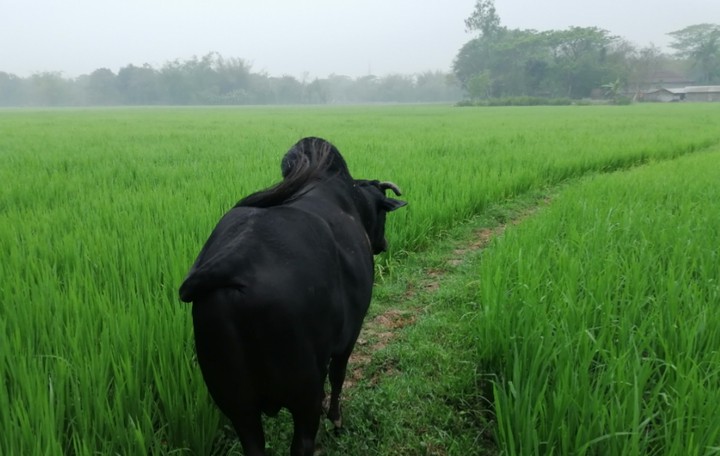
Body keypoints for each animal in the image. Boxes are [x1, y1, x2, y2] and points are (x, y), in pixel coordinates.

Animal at [178, 137, 407, 456]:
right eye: (383, 210)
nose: (383, 243)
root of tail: (232, 262)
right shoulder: (349, 335)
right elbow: (338, 376)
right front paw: (336, 418)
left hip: (237, 406)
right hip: (303, 395)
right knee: (303, 440)